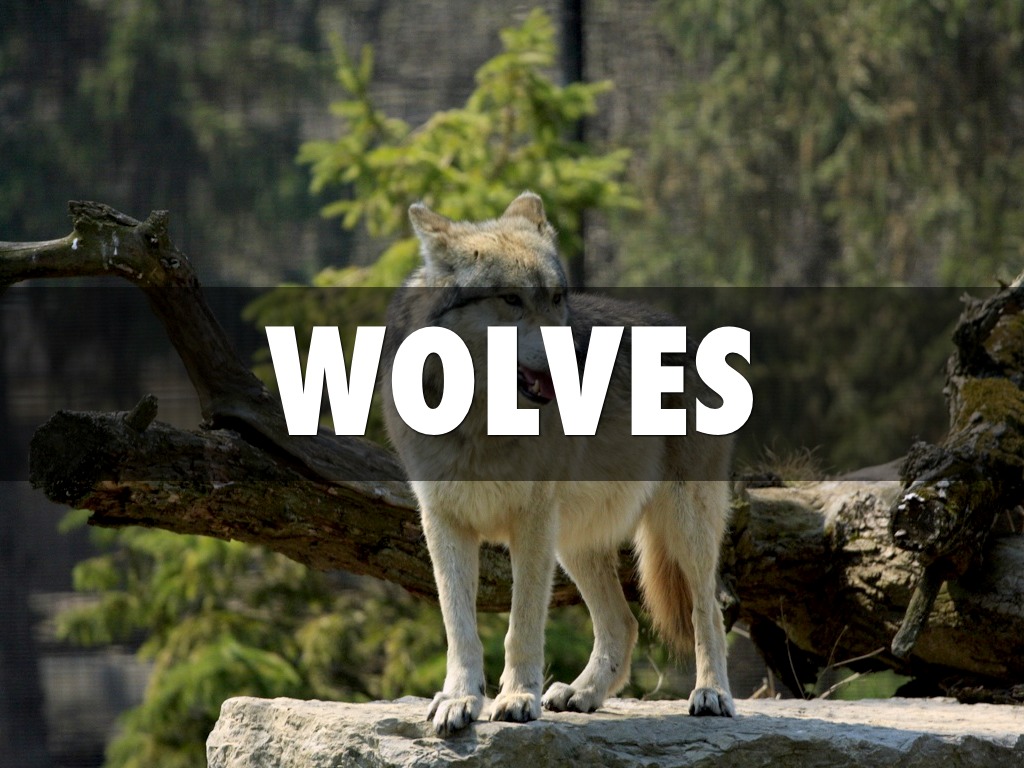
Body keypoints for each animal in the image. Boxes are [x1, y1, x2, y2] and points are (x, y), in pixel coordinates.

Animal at [380, 192, 735, 736]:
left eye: (556, 299)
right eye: (511, 300)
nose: (578, 356)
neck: (480, 422)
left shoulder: (532, 521)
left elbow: (521, 625)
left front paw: (516, 699)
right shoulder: (443, 523)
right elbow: (460, 627)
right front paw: (460, 700)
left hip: (679, 525)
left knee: (706, 612)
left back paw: (711, 694)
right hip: (573, 542)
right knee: (623, 624)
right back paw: (583, 693)